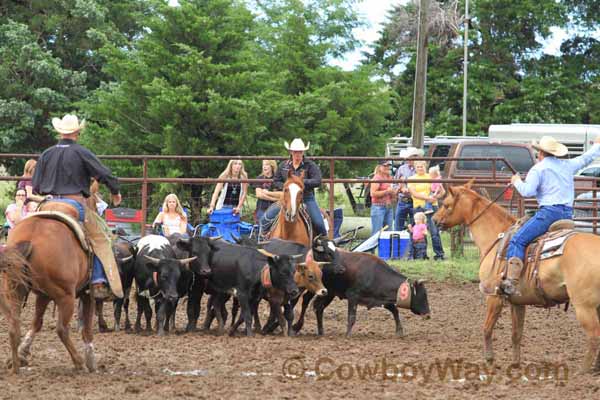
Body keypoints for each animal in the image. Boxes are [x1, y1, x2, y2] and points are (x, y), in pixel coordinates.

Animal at [0, 189, 101, 374]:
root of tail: (30, 239)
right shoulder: (87, 293)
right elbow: (87, 328)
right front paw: (91, 360)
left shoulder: (43, 295)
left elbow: (36, 323)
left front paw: (23, 352)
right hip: (66, 296)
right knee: (62, 329)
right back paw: (78, 362)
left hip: (15, 289)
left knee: (13, 326)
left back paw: (15, 366)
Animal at [434, 183, 600, 374]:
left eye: (446, 204)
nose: (434, 220)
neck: (495, 238)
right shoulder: (518, 302)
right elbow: (516, 334)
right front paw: (515, 364)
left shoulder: (494, 296)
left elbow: (487, 328)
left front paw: (489, 360)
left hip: (584, 306)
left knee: (594, 335)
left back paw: (583, 370)